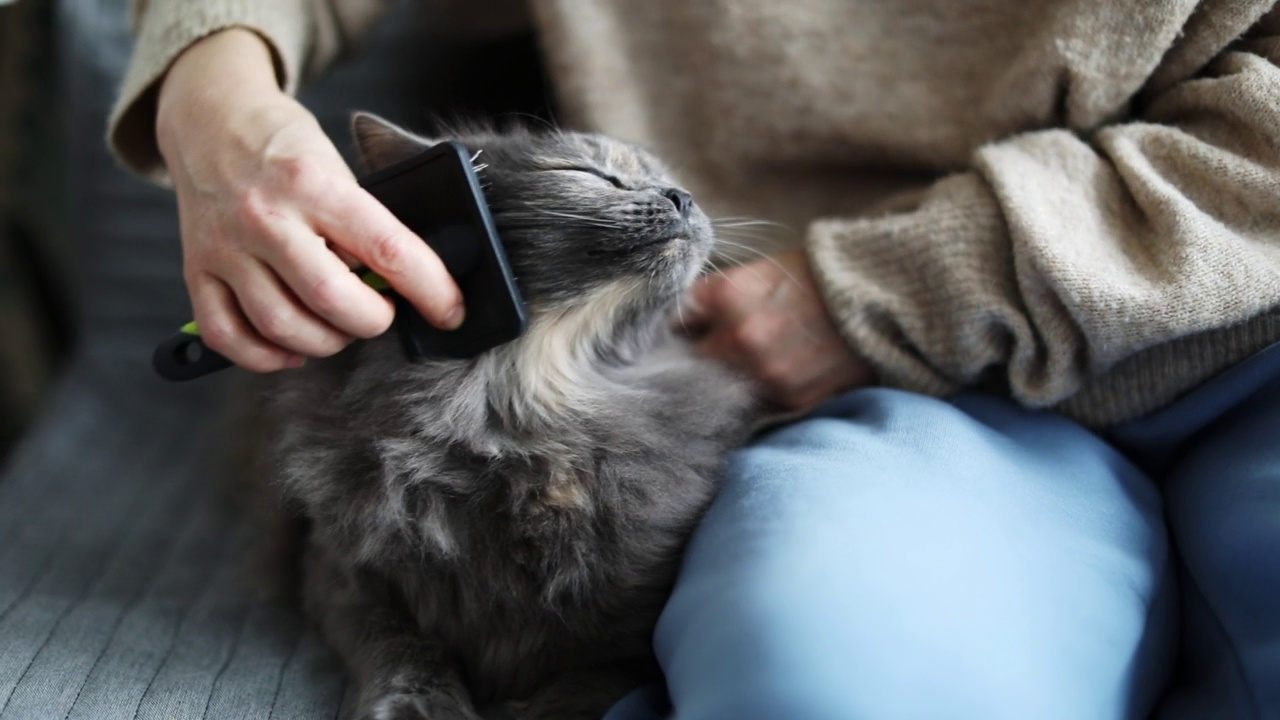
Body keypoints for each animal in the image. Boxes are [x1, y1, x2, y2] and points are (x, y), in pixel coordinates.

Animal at [256, 113, 762, 717]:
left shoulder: (626, 650)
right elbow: (400, 647)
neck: (518, 418)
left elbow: (573, 694)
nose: (681, 196)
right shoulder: (341, 576)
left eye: (670, 180)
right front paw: (421, 708)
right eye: (587, 173)